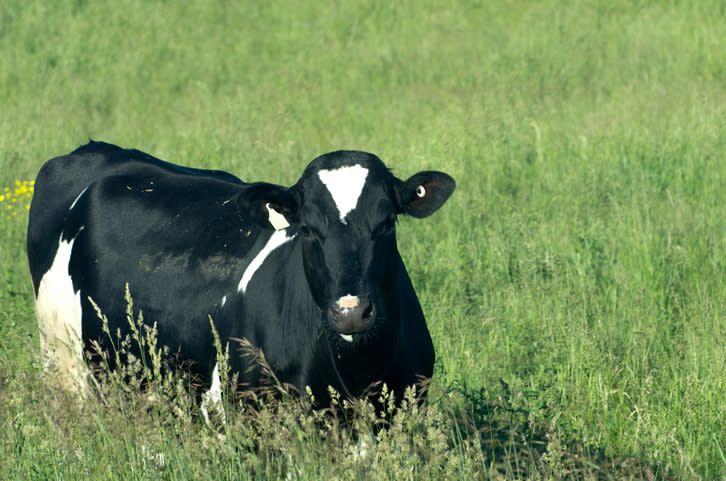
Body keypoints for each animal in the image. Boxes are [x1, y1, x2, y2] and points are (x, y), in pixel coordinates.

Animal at [28, 140, 458, 412]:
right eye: (307, 229)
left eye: (387, 223)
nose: (350, 312)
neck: (355, 371)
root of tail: (100, 152)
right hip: (62, 364)